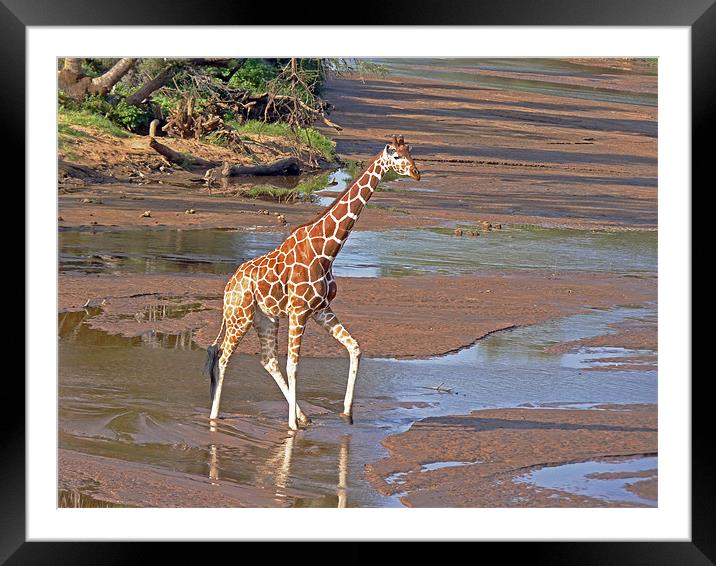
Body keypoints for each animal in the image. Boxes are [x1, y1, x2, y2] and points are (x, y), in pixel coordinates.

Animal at [203, 135, 420, 432]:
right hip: (240, 317)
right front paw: (292, 427)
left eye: (410, 152)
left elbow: (355, 348)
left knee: (268, 360)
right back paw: (216, 416)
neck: (326, 250)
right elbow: (294, 366)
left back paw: (303, 416)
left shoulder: (320, 309)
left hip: (265, 318)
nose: (417, 173)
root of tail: (227, 288)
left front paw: (346, 413)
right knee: (224, 356)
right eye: (396, 157)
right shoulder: (299, 311)